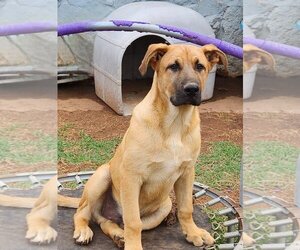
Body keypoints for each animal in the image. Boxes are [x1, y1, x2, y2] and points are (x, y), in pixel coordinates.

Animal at [72, 44, 227, 249]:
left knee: (109, 222)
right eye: (173, 66)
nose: (192, 89)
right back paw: (84, 230)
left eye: (200, 66)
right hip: (102, 176)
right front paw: (134, 247)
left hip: (164, 206)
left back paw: (118, 235)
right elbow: (133, 221)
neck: (175, 124)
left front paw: (193, 233)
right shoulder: (132, 177)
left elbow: (186, 208)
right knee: (84, 212)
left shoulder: (187, 173)